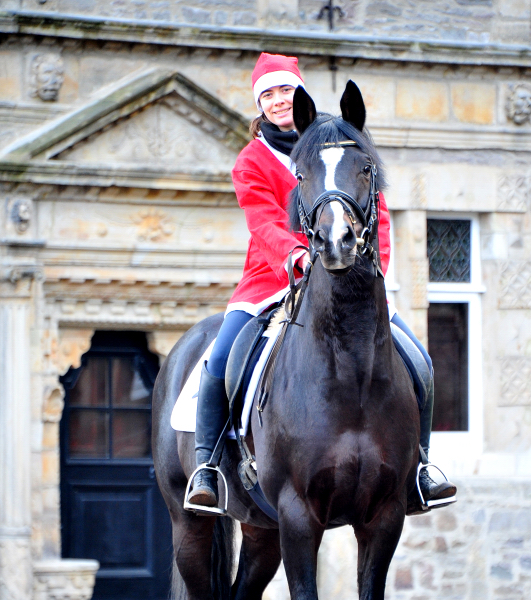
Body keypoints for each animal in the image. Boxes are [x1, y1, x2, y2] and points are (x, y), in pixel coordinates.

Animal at [152, 81, 422, 600]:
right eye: (302, 172)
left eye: (365, 167)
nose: (336, 242)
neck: (351, 369)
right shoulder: (299, 516)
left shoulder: (385, 516)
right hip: (188, 524)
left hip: (261, 528)